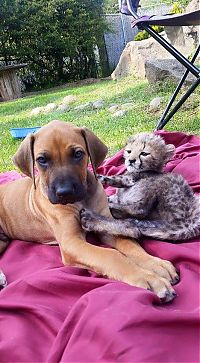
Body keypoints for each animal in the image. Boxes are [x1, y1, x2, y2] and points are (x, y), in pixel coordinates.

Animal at [0, 121, 178, 302]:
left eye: (78, 154)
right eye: (42, 160)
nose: (65, 192)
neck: (81, 200)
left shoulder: (107, 226)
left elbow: (130, 246)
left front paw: (156, 264)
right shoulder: (71, 243)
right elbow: (112, 255)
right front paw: (149, 278)